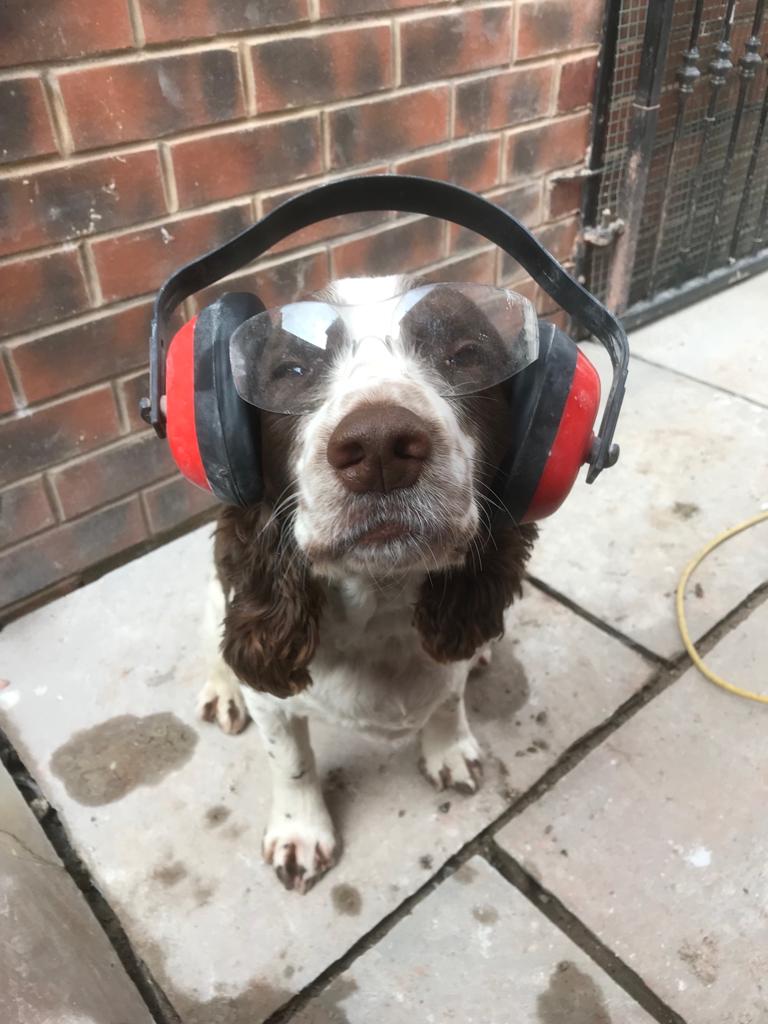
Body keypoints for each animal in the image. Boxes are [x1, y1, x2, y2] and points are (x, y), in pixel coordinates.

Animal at [196, 276, 536, 892]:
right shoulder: (273, 701)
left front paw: (449, 748)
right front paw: (301, 832)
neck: (379, 601)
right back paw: (221, 690)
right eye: (292, 370)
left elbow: (448, 698)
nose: (379, 446)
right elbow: (291, 760)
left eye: (463, 354)